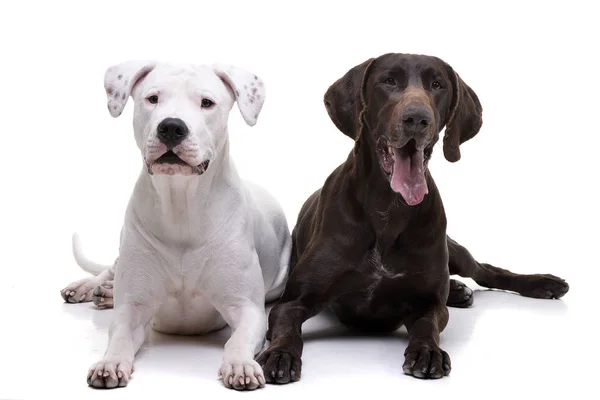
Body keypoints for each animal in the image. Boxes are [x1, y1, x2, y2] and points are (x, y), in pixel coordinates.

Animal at [62, 60, 292, 390]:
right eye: (152, 98)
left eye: (207, 103)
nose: (171, 126)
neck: (181, 204)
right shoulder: (132, 309)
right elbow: (119, 336)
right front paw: (110, 362)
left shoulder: (247, 308)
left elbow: (237, 340)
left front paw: (241, 365)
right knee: (110, 269)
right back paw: (90, 288)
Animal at [255, 52, 568, 382]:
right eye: (388, 81)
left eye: (437, 85)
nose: (417, 118)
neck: (388, 208)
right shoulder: (294, 301)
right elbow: (287, 328)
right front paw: (280, 354)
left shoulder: (428, 303)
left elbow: (428, 325)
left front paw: (428, 351)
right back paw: (460, 290)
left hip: (454, 250)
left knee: (486, 270)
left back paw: (541, 283)